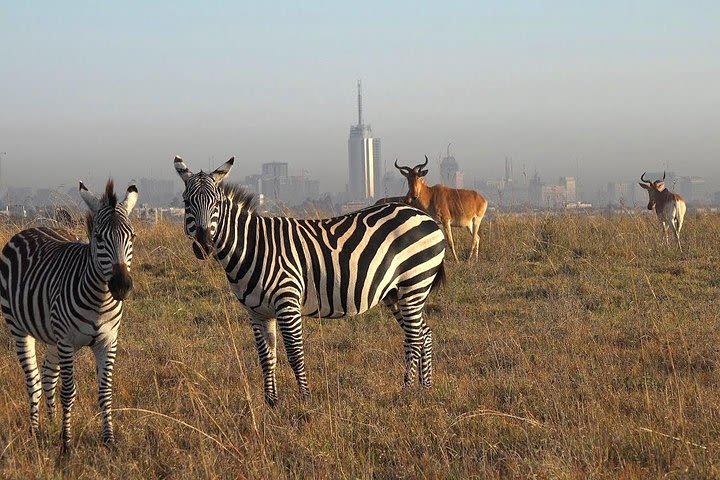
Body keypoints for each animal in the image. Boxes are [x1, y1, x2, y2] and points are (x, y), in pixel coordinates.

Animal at [0, 179, 139, 450]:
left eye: (132, 236)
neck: (99, 299)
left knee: (47, 376)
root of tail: (32, 227)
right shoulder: (67, 341)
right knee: (34, 381)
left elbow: (105, 392)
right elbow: (68, 392)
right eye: (99, 237)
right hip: (19, 328)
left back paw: (51, 424)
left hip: (53, 336)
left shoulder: (108, 341)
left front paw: (109, 441)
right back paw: (35, 432)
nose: (122, 286)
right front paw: (66, 444)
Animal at [174, 158, 444, 404]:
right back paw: (425, 389)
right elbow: (266, 357)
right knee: (425, 333)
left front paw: (305, 400)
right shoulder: (257, 312)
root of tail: (424, 216)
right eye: (186, 203)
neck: (253, 247)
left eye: (217, 203)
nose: (204, 246)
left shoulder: (287, 302)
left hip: (414, 282)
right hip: (395, 292)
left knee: (414, 337)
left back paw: (406, 391)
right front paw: (271, 403)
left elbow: (295, 354)